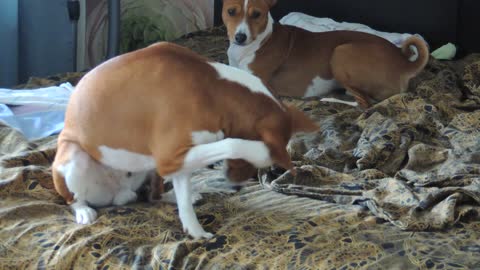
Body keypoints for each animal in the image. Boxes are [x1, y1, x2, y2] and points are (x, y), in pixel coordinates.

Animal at [51, 41, 318, 239]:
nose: (237, 184)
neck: (213, 91)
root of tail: (118, 196)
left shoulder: (179, 159)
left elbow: (184, 199)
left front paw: (195, 231)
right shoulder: (171, 157)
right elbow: (232, 143)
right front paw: (262, 153)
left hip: (150, 169)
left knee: (153, 196)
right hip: (75, 159)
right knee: (72, 199)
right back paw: (84, 211)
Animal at [223, 0, 430, 107]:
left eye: (257, 14)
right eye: (231, 11)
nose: (240, 37)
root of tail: (404, 62)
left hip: (341, 52)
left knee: (365, 103)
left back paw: (329, 99)